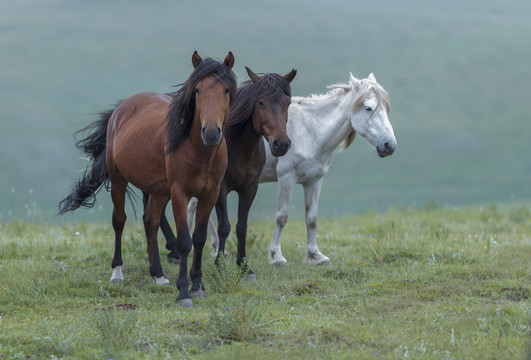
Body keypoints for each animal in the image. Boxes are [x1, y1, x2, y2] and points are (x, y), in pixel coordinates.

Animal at [58, 52, 239, 308]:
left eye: (226, 90)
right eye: (197, 91)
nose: (211, 133)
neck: (200, 153)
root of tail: (124, 107)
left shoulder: (210, 194)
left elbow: (199, 238)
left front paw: (197, 286)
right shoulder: (180, 195)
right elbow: (185, 241)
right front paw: (184, 292)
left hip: (158, 190)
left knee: (150, 222)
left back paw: (158, 274)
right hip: (119, 181)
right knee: (119, 221)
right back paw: (117, 273)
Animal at [157, 66, 300, 278]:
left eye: (287, 103)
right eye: (261, 102)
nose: (281, 144)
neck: (240, 147)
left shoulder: (250, 188)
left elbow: (242, 226)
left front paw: (244, 266)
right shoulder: (220, 188)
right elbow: (224, 226)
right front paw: (220, 265)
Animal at [187, 73, 394, 264]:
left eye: (386, 108)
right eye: (368, 107)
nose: (389, 145)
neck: (311, 130)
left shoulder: (314, 180)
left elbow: (312, 218)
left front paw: (315, 255)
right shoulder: (286, 178)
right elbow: (282, 217)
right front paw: (276, 256)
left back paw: (211, 248)